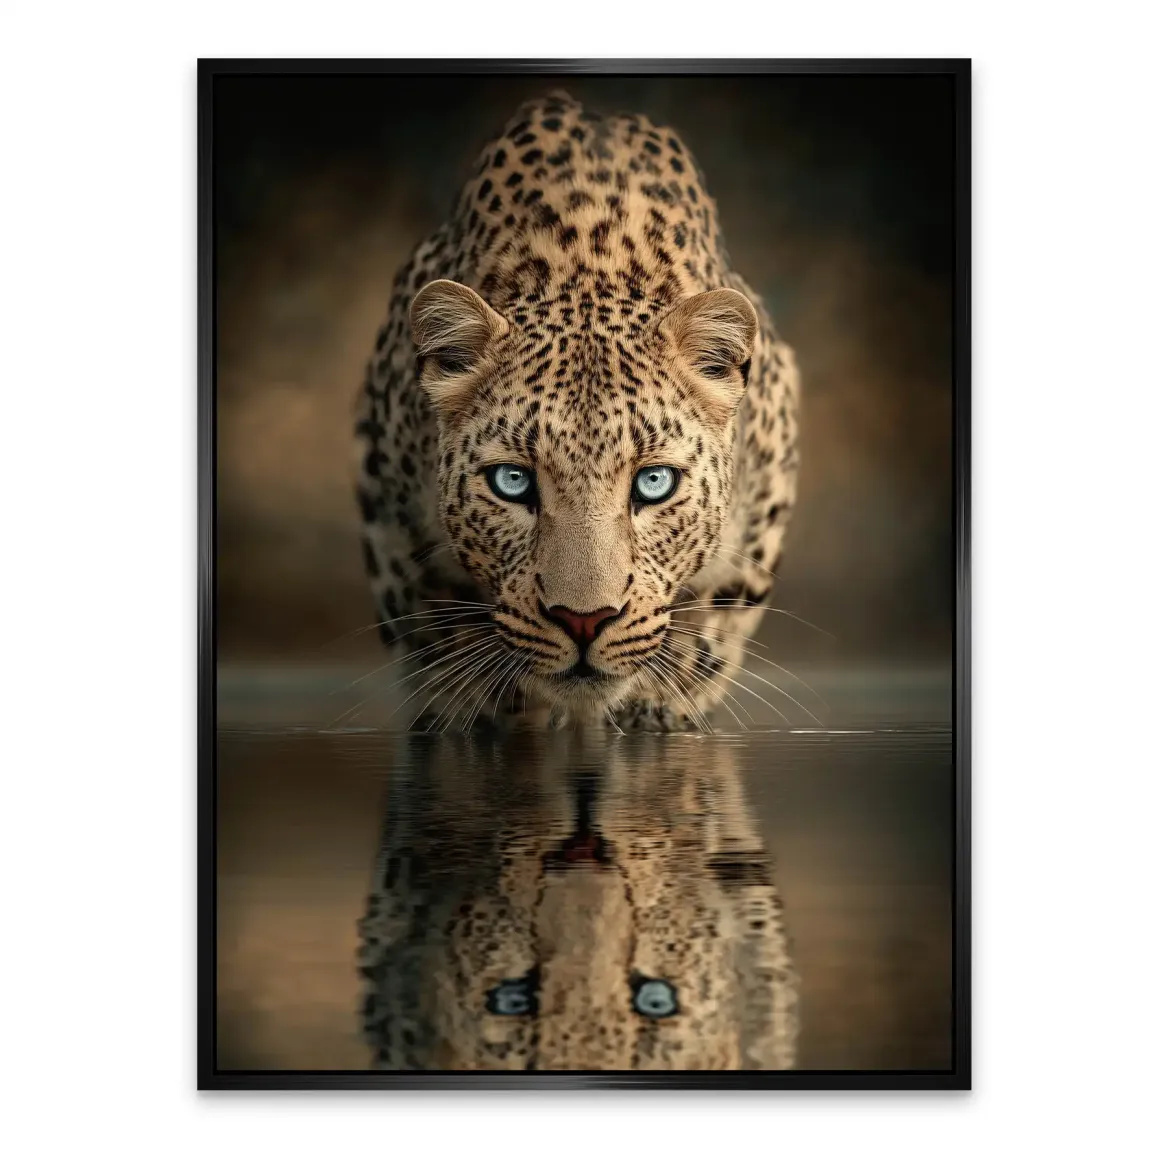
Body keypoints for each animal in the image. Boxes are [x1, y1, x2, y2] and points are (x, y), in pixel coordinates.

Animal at [354, 89, 800, 732]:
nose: (584, 620)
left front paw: (657, 704)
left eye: (655, 483)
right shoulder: (389, 513)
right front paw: (480, 709)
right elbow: (433, 631)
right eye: (512, 482)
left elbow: (712, 624)